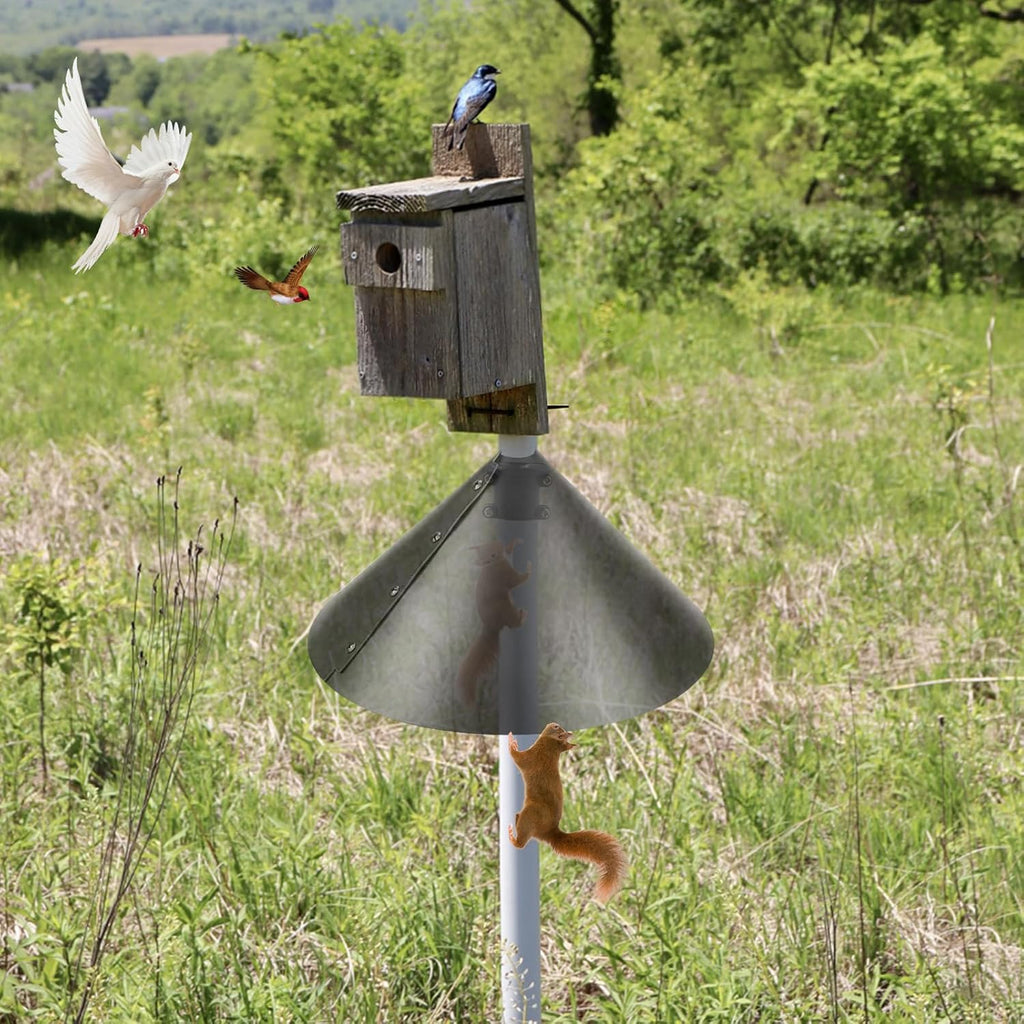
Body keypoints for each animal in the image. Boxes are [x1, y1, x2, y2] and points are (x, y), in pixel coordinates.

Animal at [455, 539, 531, 706]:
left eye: (488, 543)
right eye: (492, 554)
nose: (500, 544)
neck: (492, 565)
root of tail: (491, 627)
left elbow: (510, 551)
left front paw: (515, 542)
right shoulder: (504, 575)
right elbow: (518, 580)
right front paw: (529, 568)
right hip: (507, 609)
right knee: (514, 623)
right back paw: (523, 616)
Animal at [507, 723, 627, 903]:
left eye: (557, 728)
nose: (553, 724)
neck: (550, 750)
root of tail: (550, 832)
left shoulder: (531, 758)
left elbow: (517, 757)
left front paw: (511, 742)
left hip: (531, 814)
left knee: (521, 843)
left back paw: (512, 832)